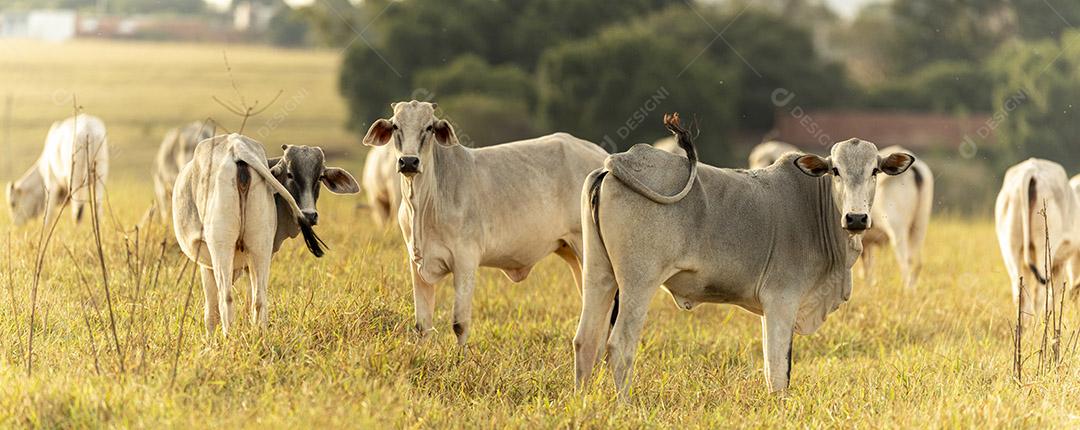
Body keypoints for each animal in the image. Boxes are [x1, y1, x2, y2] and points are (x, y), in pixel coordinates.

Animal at [172, 134, 358, 336]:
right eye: (290, 174)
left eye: (320, 177)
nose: (309, 215)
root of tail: (237, 146)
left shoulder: (207, 263)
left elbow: (210, 312)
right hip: (260, 248)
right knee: (259, 299)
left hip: (222, 248)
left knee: (226, 299)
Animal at [362, 100, 608, 347]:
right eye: (395, 126)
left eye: (429, 127)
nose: (409, 162)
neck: (424, 204)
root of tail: (601, 156)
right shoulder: (416, 264)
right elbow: (422, 325)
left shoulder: (466, 261)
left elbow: (459, 324)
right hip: (569, 250)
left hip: (585, 247)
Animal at [573, 113, 914, 399]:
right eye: (835, 171)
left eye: (874, 171)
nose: (856, 218)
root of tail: (617, 161)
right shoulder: (781, 301)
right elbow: (778, 371)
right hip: (637, 282)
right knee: (620, 345)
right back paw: (624, 404)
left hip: (599, 275)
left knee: (585, 340)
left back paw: (583, 401)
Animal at [995, 159, 1080, 327]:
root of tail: (1032, 170)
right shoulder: (1063, 261)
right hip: (1045, 248)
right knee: (1040, 294)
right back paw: (1038, 327)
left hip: (1011, 249)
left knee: (1020, 293)